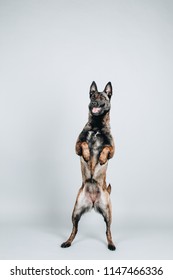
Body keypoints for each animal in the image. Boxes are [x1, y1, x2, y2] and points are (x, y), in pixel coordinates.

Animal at [61, 81, 116, 252]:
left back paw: (111, 244)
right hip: (75, 211)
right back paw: (68, 242)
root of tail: (92, 202)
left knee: (108, 230)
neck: (97, 127)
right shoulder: (77, 146)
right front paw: (86, 155)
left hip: (108, 213)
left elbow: (106, 148)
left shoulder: (113, 149)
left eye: (102, 98)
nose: (93, 103)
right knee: (74, 229)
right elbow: (84, 143)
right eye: (92, 96)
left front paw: (102, 158)